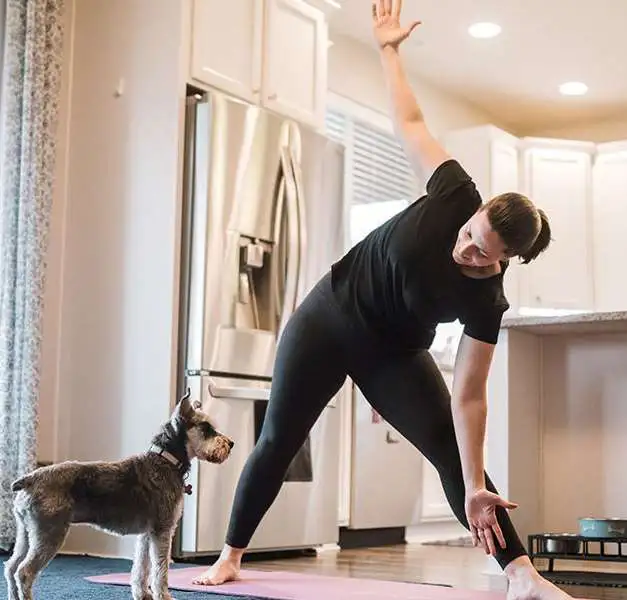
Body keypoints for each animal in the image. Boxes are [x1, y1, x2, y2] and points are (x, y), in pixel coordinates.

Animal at [3, 389, 234, 600]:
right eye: (206, 428)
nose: (231, 444)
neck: (166, 459)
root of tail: (30, 478)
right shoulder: (163, 530)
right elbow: (160, 569)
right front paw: (164, 596)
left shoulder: (147, 533)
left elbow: (142, 567)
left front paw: (143, 594)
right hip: (49, 534)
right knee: (24, 572)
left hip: (26, 534)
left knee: (11, 567)